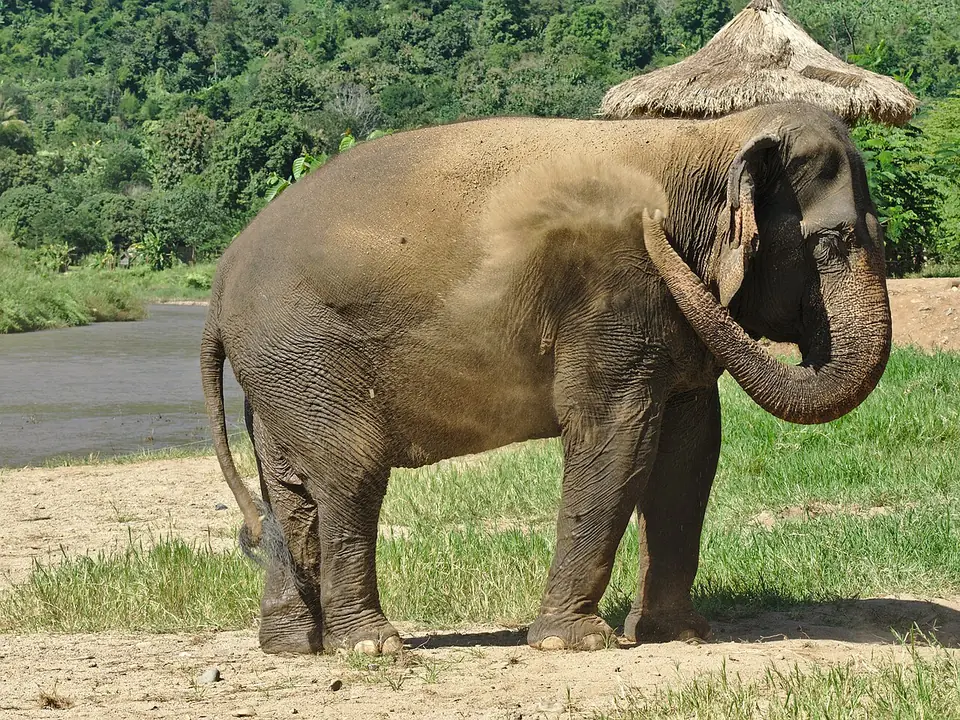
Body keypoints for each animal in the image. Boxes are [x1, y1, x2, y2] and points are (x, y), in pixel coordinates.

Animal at [201, 101, 891, 656]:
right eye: (831, 241)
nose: (650, 226)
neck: (708, 138)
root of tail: (219, 285)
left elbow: (690, 451)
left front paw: (679, 636)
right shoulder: (616, 292)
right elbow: (617, 435)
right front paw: (574, 642)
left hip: (278, 371)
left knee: (290, 490)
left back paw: (293, 647)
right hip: (303, 349)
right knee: (350, 474)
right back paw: (373, 648)